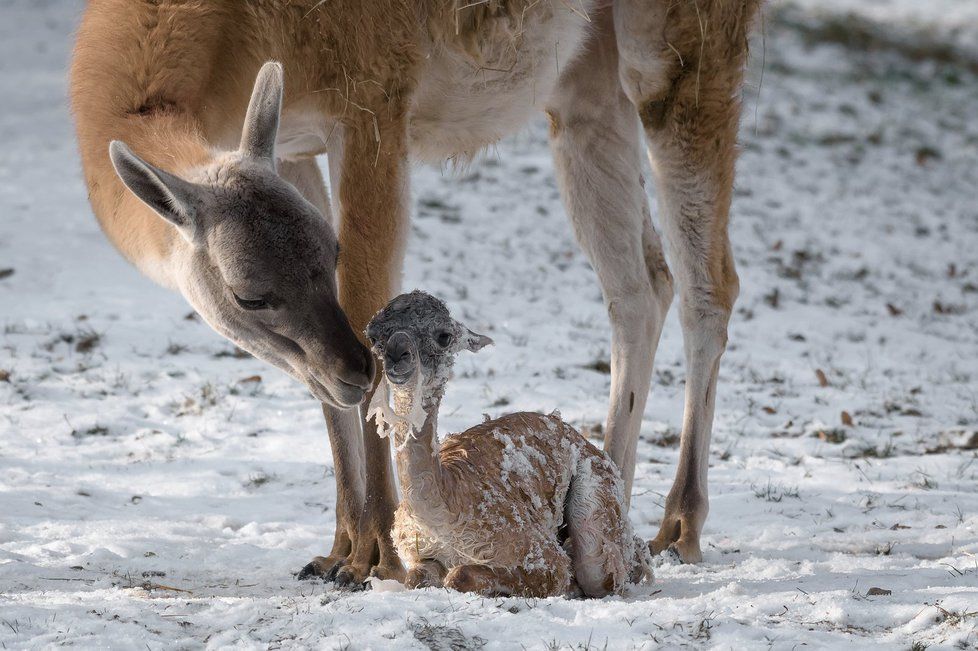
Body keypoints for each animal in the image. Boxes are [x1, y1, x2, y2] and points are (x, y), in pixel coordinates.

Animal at [366, 292, 648, 600]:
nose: (397, 355)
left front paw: (567, 584)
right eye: (374, 335)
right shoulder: (418, 553)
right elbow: (415, 577)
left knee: (610, 569)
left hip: (598, 506)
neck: (444, 513)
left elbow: (460, 575)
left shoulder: (540, 555)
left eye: (443, 336)